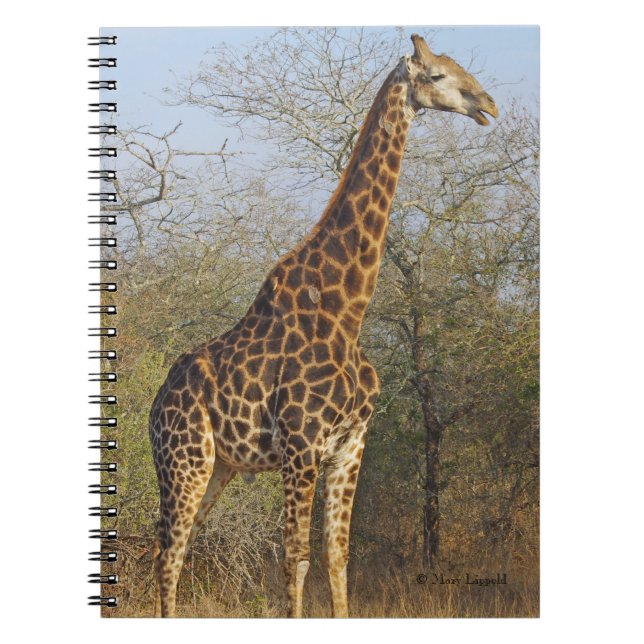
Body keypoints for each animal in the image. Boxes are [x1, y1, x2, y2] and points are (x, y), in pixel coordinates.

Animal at [149, 33, 498, 618]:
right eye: (435, 75)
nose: (488, 105)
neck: (346, 310)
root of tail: (154, 406)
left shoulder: (350, 444)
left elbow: (337, 556)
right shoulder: (301, 445)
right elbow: (296, 558)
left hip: (217, 466)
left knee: (175, 543)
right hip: (184, 458)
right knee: (169, 553)